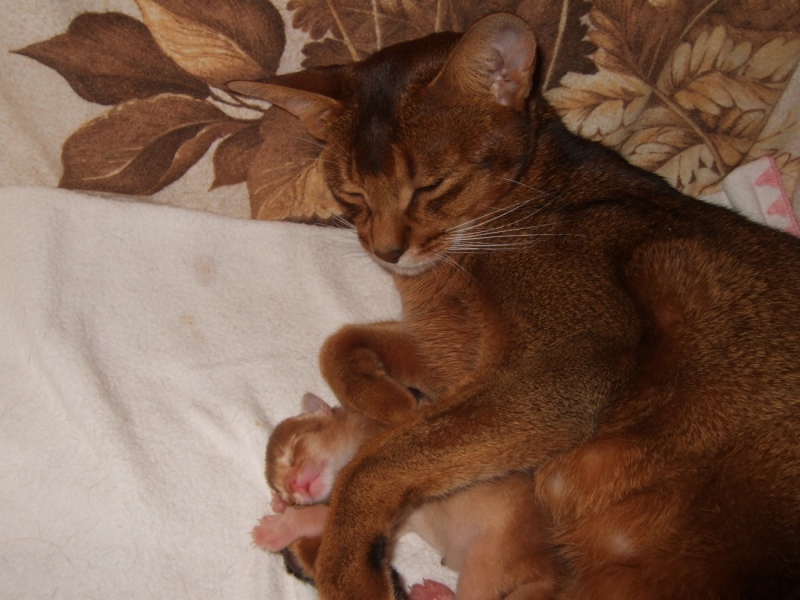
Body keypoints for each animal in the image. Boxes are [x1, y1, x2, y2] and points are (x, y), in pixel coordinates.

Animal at [253, 393, 560, 600]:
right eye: (282, 488)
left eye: (294, 448)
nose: (292, 485)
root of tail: (549, 571)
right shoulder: (389, 523)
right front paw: (281, 508)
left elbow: (316, 514)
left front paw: (278, 529)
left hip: (486, 562)